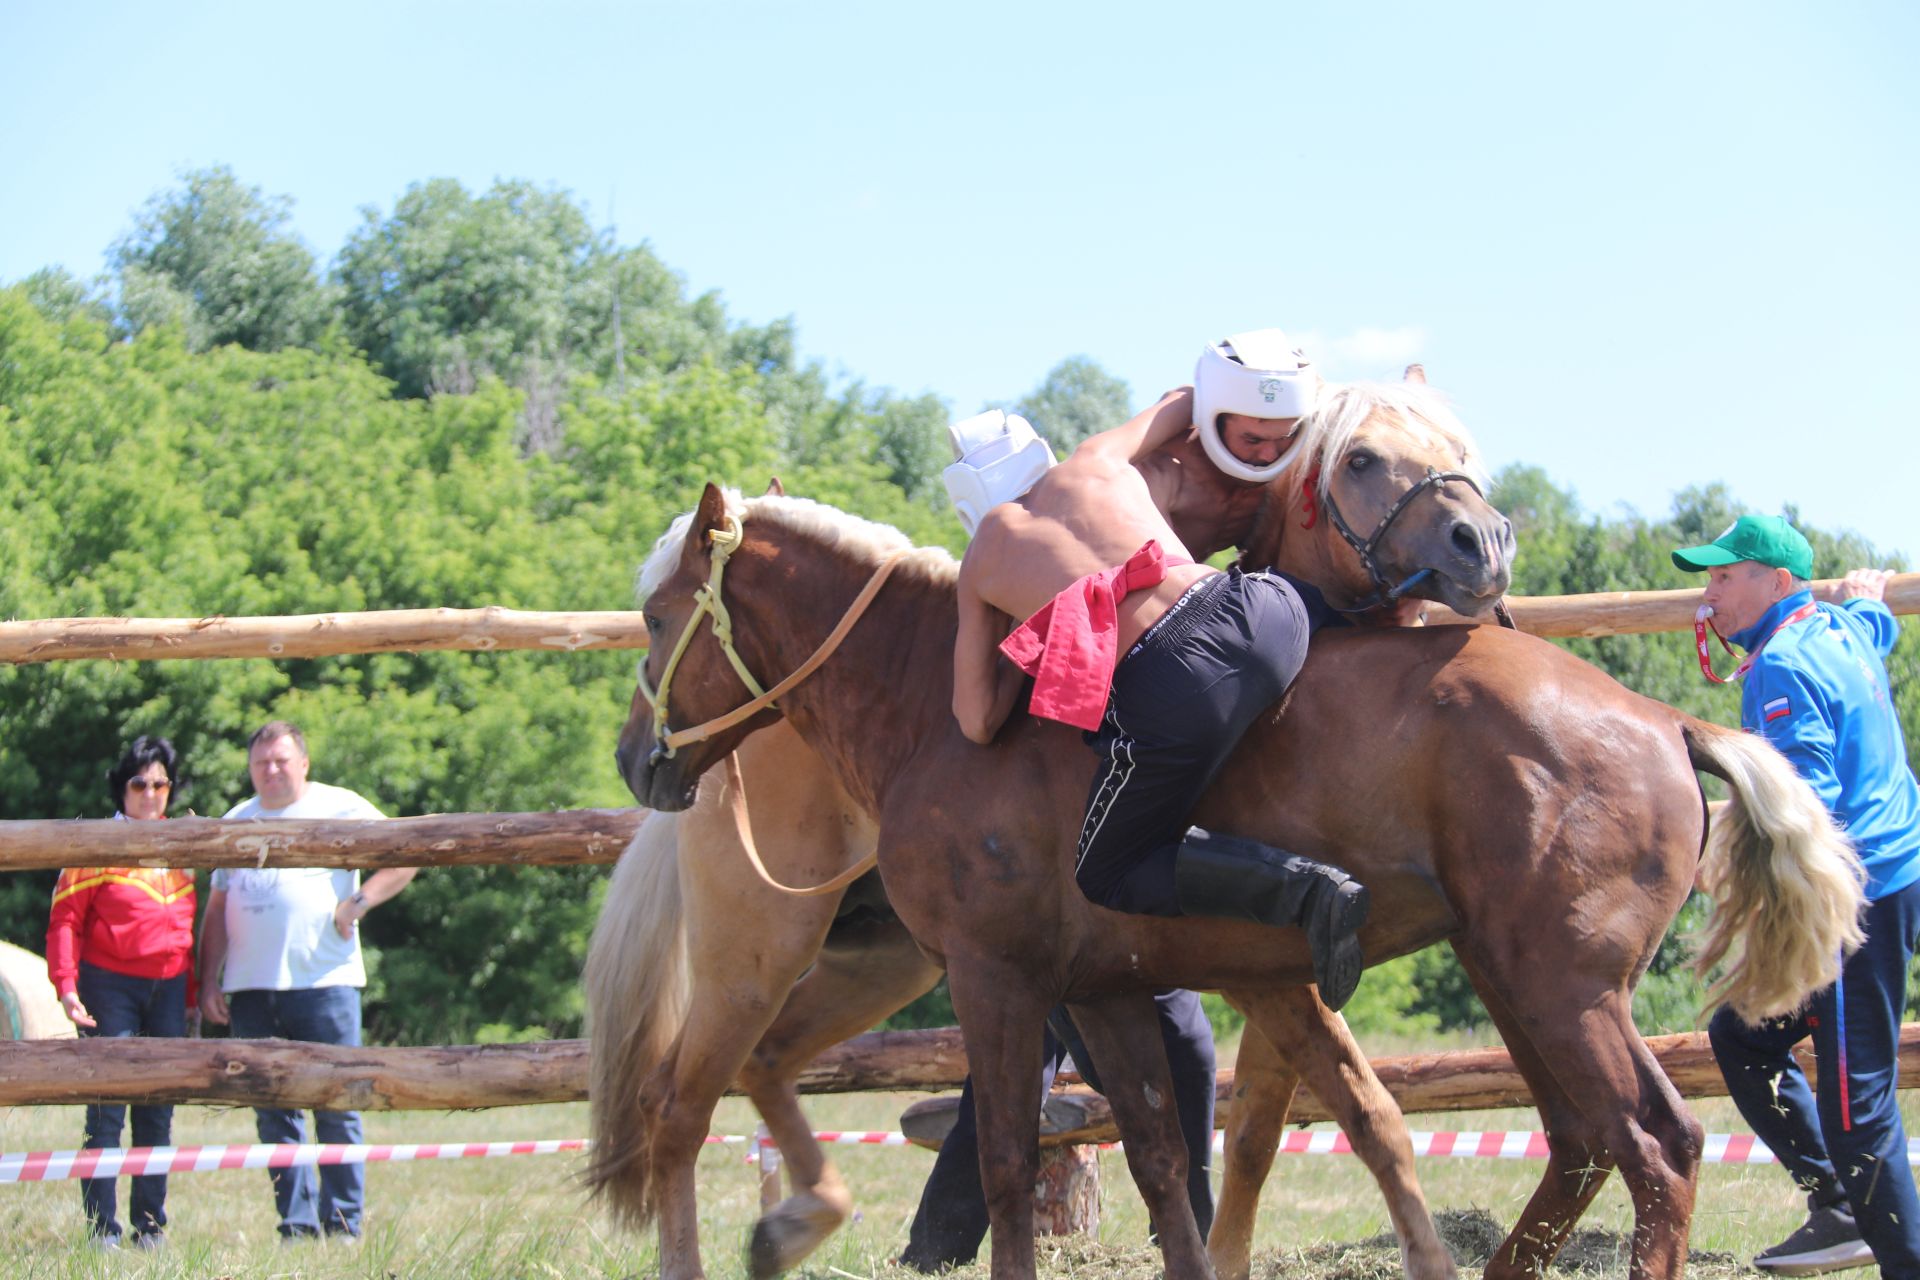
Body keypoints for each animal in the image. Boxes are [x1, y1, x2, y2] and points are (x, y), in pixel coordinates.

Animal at [614, 401, 1858, 1280]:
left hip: (1560, 985)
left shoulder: (996, 977)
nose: (637, 756)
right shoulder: (1108, 990)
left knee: (1655, 1146)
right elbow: (1169, 1161)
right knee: (1583, 1139)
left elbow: (1016, 1162)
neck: (928, 703)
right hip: (1522, 980)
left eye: (656, 615)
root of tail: (1665, 720)